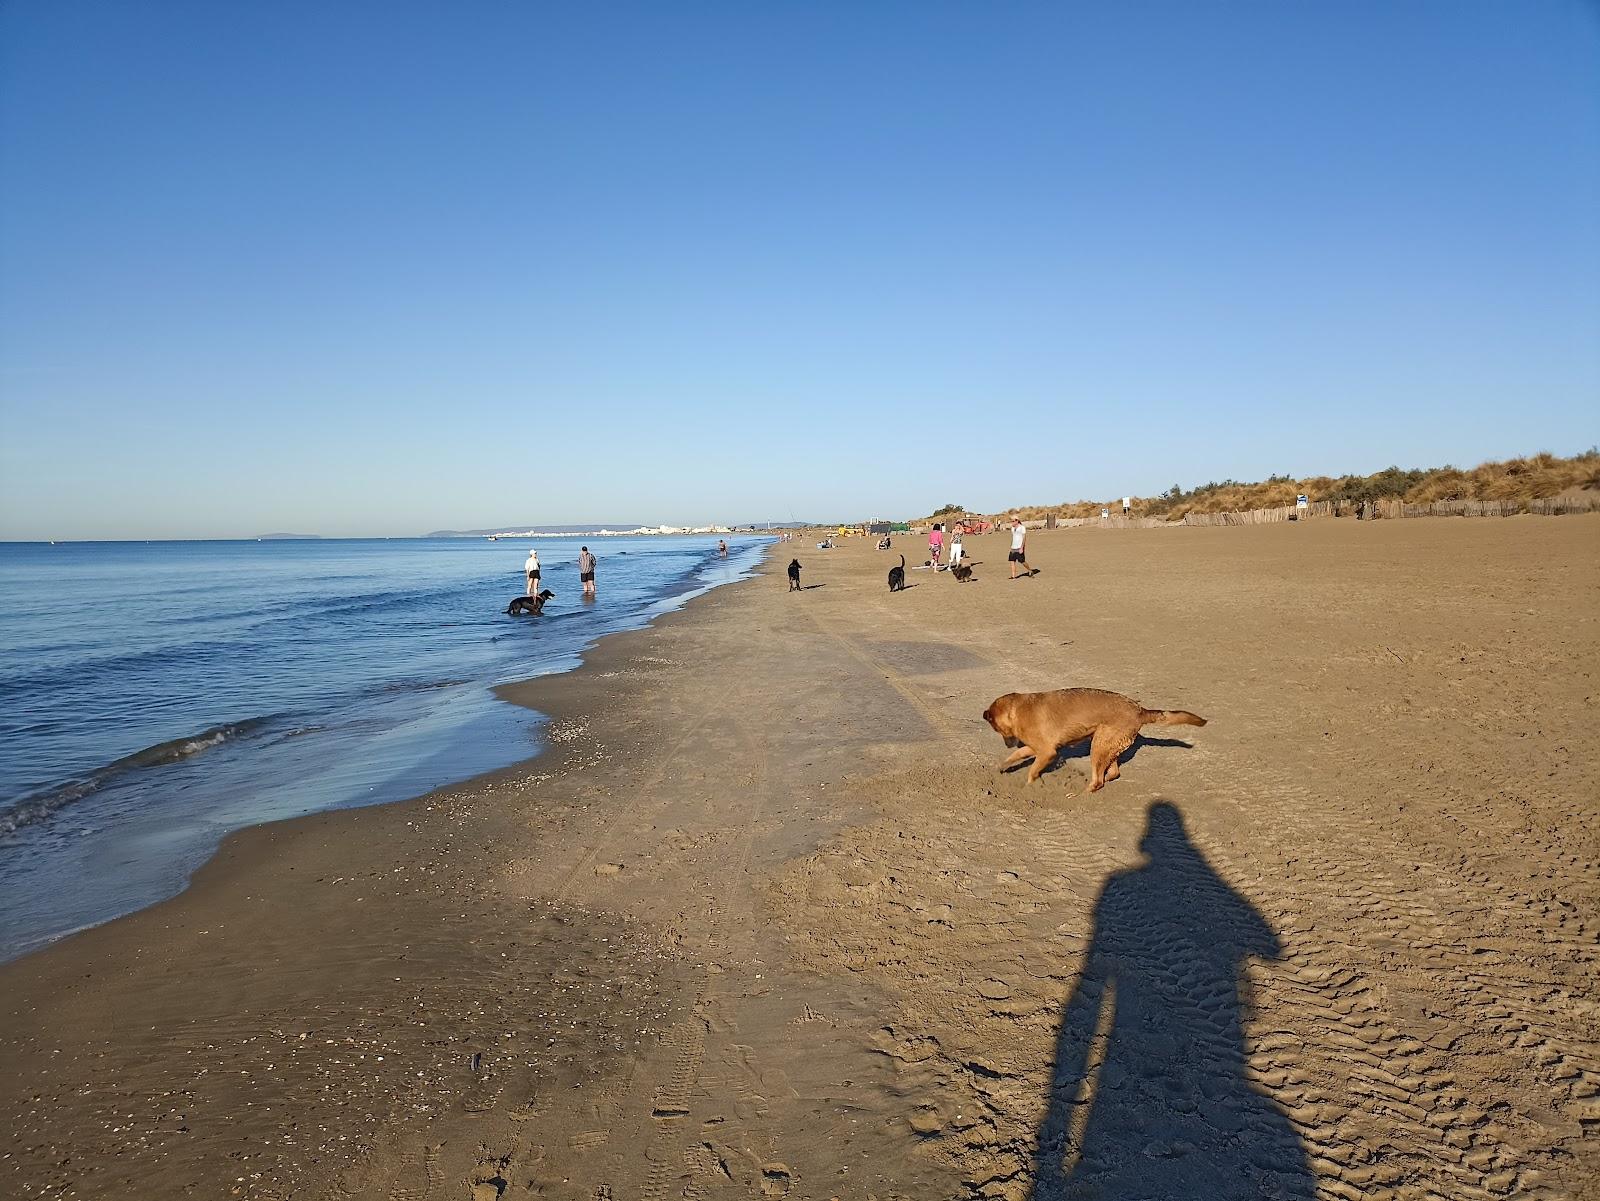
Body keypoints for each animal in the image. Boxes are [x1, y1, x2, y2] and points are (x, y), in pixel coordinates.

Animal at [979, 690, 1203, 793]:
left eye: (996, 728)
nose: (1007, 743)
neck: (1015, 710)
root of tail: (1140, 711)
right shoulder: (1035, 749)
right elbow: (1015, 755)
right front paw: (1002, 767)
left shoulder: (1046, 752)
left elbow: (1032, 770)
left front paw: (1031, 786)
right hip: (1107, 745)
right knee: (1112, 773)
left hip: (1098, 745)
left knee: (1098, 781)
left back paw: (1079, 793)